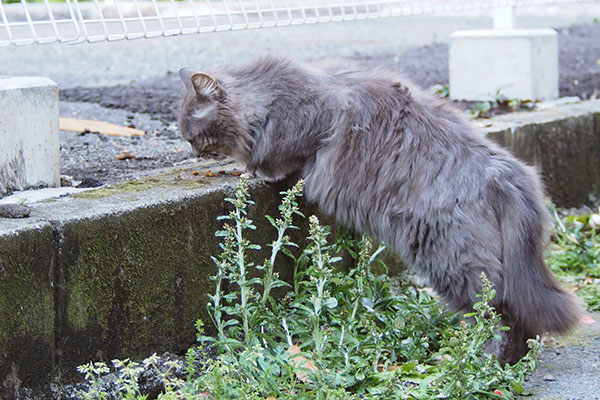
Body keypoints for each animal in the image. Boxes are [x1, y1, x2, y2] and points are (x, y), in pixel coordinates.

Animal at [177, 56, 580, 366]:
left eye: (194, 135)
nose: (193, 152)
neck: (269, 92)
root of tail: (507, 172)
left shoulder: (312, 123)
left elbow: (281, 158)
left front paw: (257, 170)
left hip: (454, 261)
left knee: (496, 315)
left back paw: (478, 361)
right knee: (520, 317)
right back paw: (510, 364)